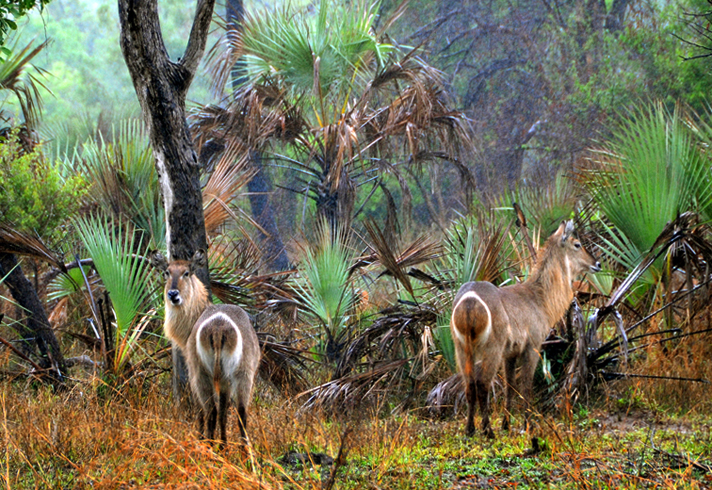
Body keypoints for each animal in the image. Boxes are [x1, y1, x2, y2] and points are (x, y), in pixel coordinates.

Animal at [151, 251, 262, 446]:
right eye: (167, 272)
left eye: (186, 273)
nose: (173, 294)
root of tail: (218, 327)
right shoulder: (225, 381)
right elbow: (224, 413)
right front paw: (224, 445)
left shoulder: (193, 373)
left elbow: (201, 412)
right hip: (242, 373)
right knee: (240, 412)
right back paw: (243, 451)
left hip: (202, 373)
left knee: (210, 410)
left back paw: (207, 446)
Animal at [450, 220, 600, 438]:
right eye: (577, 244)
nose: (597, 264)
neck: (540, 299)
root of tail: (469, 301)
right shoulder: (532, 346)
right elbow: (526, 386)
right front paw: (526, 425)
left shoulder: (510, 353)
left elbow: (510, 386)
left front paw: (506, 424)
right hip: (491, 349)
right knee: (482, 384)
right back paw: (487, 430)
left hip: (462, 348)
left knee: (469, 385)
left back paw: (470, 430)